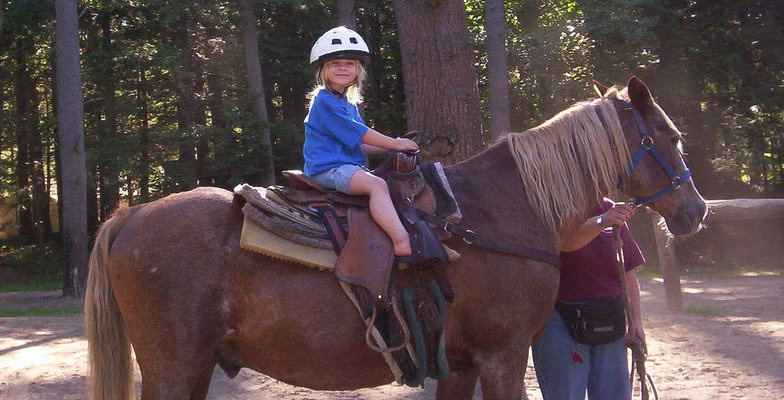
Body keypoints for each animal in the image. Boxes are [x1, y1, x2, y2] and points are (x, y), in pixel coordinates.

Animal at [84, 76, 704, 398]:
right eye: (670, 137)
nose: (696, 211)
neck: (497, 211)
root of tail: (129, 216)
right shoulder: (503, 358)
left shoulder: (464, 364)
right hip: (172, 366)